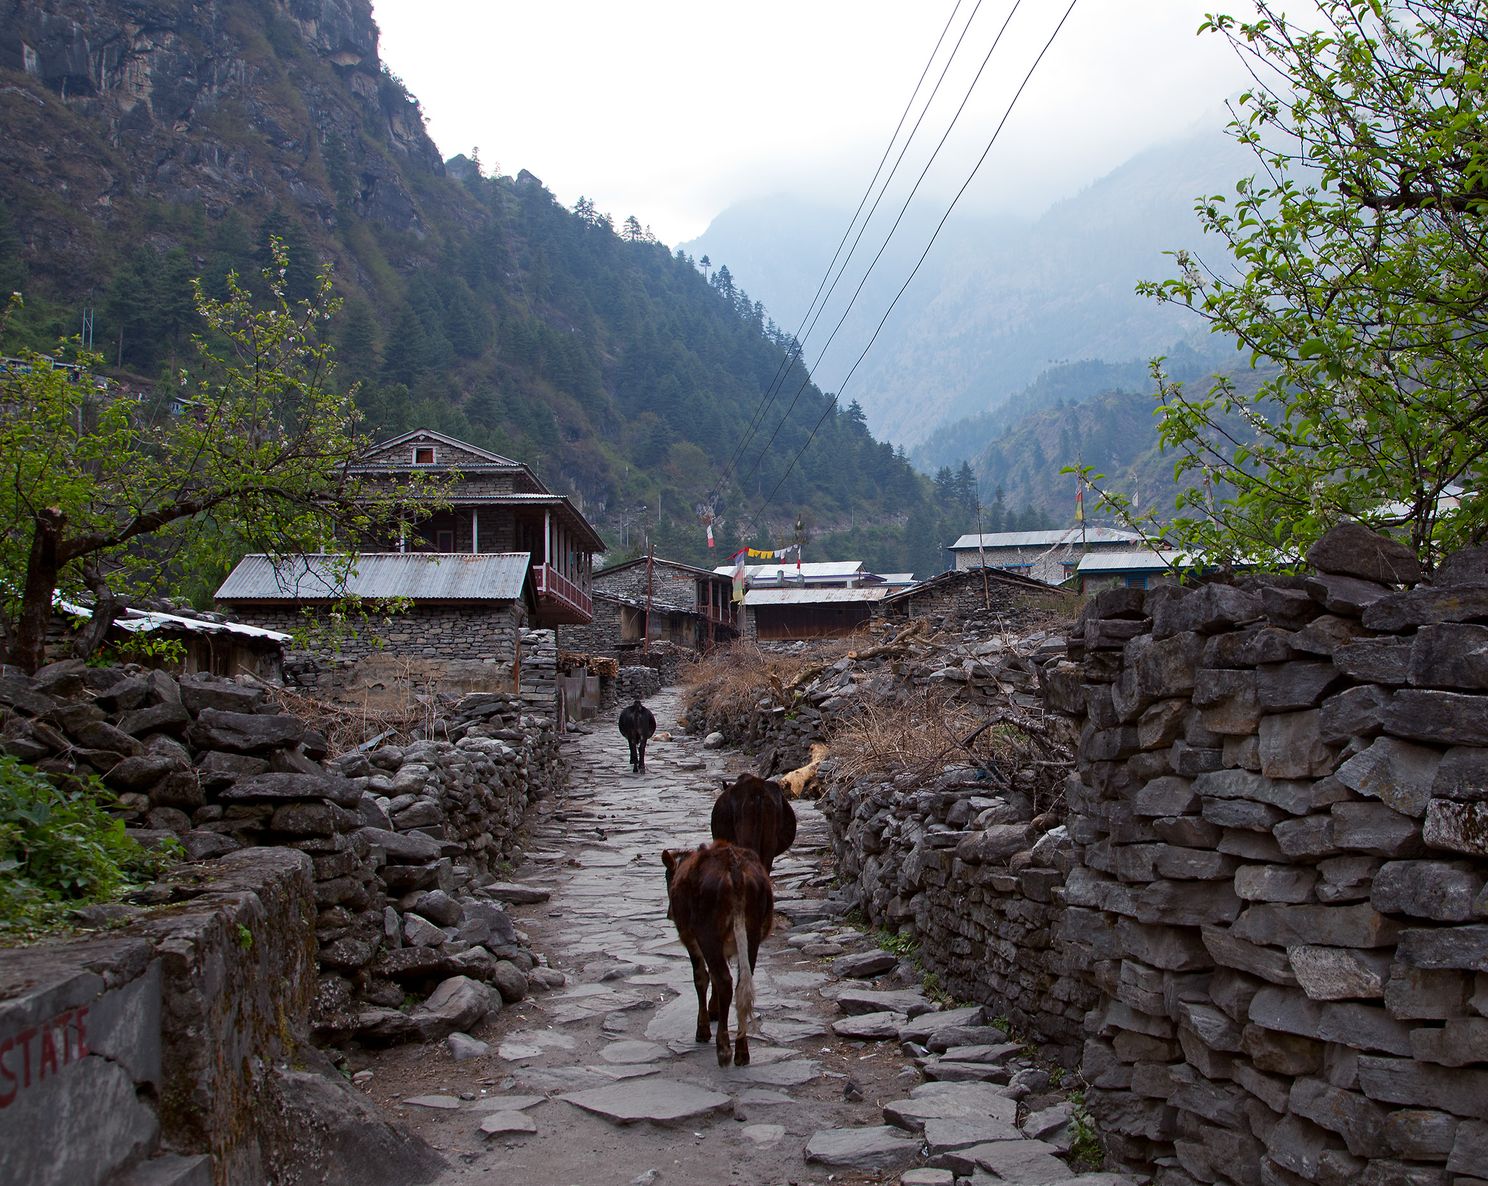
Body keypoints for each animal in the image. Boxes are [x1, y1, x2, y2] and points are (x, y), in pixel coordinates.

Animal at [666, 839, 779, 1071]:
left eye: (666, 878)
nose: (669, 913)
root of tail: (733, 865)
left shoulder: (691, 940)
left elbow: (702, 978)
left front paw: (703, 1028)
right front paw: (714, 1010)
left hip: (707, 933)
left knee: (725, 981)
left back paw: (724, 1049)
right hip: (752, 933)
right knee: (740, 984)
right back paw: (742, 1052)